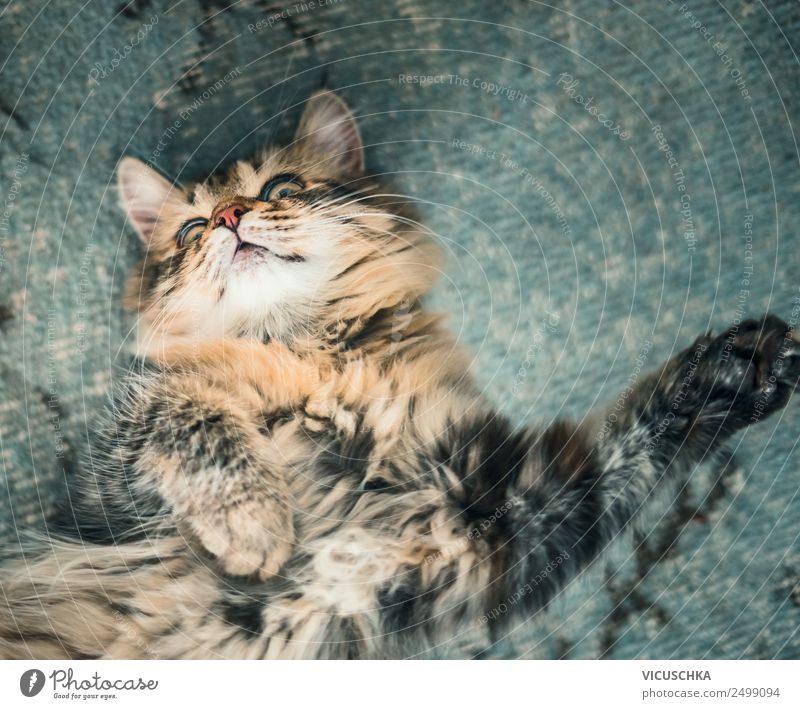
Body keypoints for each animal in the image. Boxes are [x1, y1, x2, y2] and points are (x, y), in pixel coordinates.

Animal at [1, 90, 800, 660]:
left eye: (281, 188)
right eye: (193, 231)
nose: (229, 217)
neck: (320, 363)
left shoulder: (476, 529)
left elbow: (627, 444)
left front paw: (735, 371)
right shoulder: (109, 488)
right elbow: (190, 415)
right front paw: (255, 526)